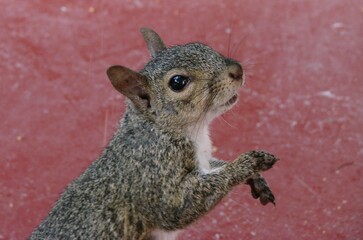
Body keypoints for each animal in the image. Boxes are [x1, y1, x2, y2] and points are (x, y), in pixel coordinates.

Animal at [30, 27, 278, 238]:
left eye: (200, 45)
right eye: (178, 82)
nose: (237, 70)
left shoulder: (204, 159)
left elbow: (216, 166)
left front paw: (256, 179)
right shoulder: (155, 174)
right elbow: (179, 207)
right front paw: (249, 162)